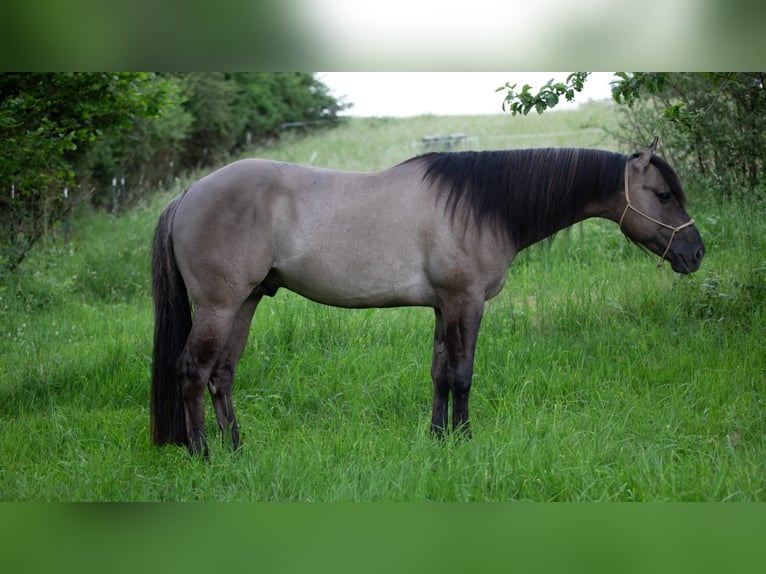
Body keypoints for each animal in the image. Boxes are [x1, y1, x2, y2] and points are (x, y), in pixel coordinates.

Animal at [150, 137, 704, 456]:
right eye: (663, 195)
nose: (696, 253)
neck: (482, 205)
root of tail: (188, 194)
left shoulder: (443, 307)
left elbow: (439, 372)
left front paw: (439, 440)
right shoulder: (466, 302)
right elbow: (462, 374)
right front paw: (464, 442)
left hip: (246, 303)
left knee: (222, 375)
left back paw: (237, 449)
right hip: (219, 307)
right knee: (192, 372)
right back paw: (202, 454)